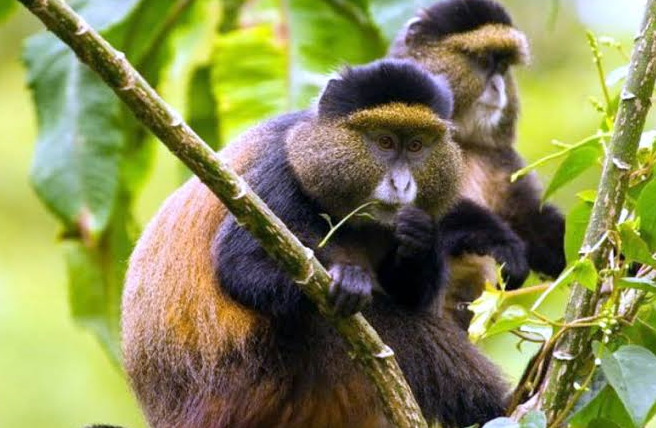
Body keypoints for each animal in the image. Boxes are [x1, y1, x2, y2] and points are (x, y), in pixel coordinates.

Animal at [122, 59, 528, 428]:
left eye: (416, 145)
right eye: (383, 141)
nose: (400, 184)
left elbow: (411, 292)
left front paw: (422, 238)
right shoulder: (277, 175)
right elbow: (240, 266)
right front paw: (348, 281)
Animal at [388, 0, 566, 328]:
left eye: (503, 66)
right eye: (483, 61)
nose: (498, 87)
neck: (462, 141)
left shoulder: (501, 159)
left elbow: (530, 219)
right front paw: (502, 242)